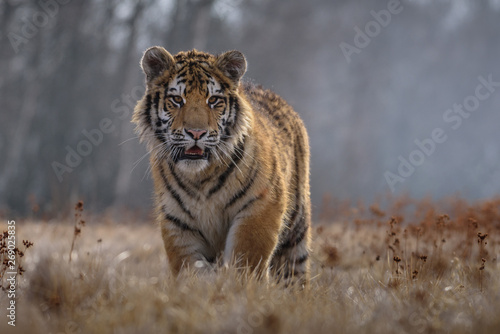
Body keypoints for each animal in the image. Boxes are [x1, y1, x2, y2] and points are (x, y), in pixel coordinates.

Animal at [133, 45, 312, 284]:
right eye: (177, 99)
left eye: (213, 100)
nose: (196, 133)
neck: (200, 177)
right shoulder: (177, 221)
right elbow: (188, 270)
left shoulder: (260, 207)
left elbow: (247, 262)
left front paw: (242, 289)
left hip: (296, 230)